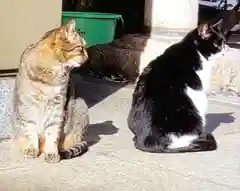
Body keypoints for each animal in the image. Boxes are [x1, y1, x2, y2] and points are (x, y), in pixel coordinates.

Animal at [11, 19, 89, 163]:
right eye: (81, 48)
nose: (88, 56)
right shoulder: (27, 104)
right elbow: (30, 130)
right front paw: (31, 149)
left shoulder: (58, 106)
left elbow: (52, 133)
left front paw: (52, 153)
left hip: (80, 105)